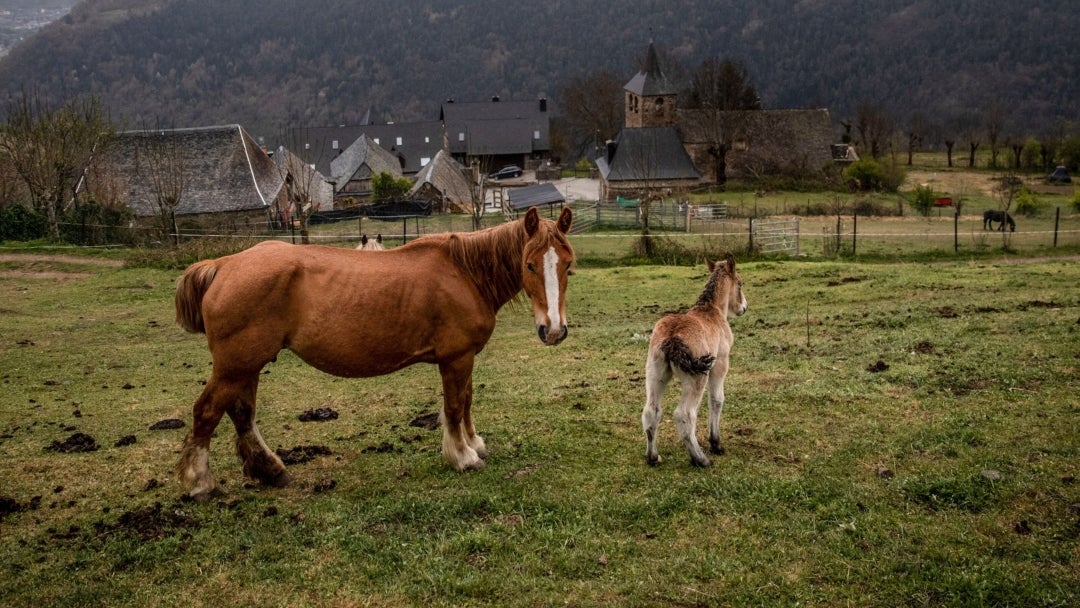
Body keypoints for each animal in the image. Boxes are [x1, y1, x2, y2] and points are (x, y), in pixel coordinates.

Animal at [174, 206, 574, 500]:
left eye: (567, 265)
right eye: (529, 264)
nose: (553, 330)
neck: (465, 273)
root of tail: (223, 265)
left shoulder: (464, 357)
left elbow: (467, 401)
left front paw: (474, 444)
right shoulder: (456, 357)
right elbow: (455, 406)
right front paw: (463, 456)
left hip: (248, 365)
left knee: (242, 415)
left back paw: (270, 470)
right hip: (235, 366)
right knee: (206, 412)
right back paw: (200, 482)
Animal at [641, 254, 747, 467]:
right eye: (740, 283)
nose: (744, 308)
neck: (711, 310)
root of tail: (672, 337)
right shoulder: (720, 364)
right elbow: (717, 400)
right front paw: (716, 444)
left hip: (655, 373)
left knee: (651, 411)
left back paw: (653, 457)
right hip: (697, 377)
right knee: (685, 414)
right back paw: (701, 459)